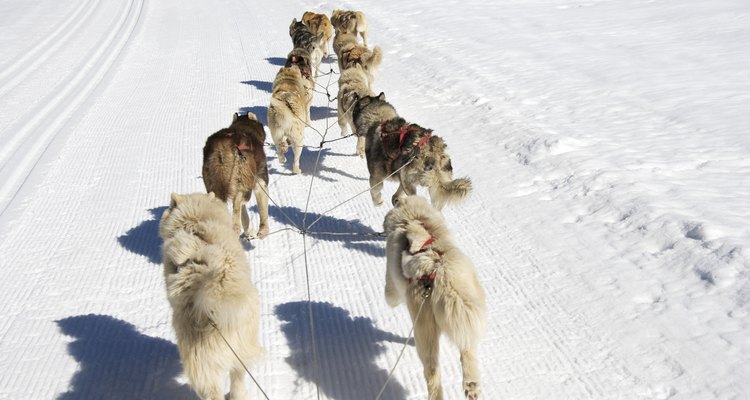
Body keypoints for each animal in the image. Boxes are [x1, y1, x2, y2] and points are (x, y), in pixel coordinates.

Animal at [203, 111, 270, 241]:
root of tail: (222, 147)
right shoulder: (260, 183)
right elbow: (263, 210)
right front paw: (263, 231)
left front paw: (249, 231)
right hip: (245, 186)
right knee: (237, 204)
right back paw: (235, 227)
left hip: (214, 188)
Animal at [388, 195, 488, 398]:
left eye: (399, 199)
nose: (394, 197)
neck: (414, 217)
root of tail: (442, 275)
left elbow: (391, 296)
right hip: (469, 314)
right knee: (468, 352)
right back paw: (471, 386)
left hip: (424, 331)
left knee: (432, 372)